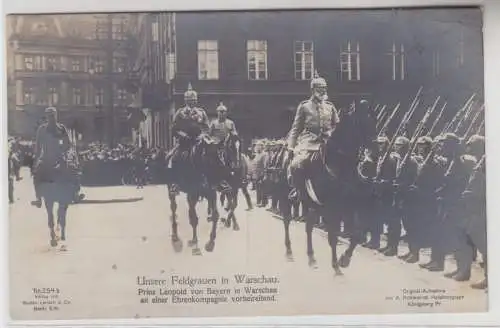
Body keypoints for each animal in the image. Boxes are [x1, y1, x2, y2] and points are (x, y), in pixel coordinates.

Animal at [286, 102, 376, 274]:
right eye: (361, 124)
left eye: (374, 123)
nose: (372, 159)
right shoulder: (331, 208)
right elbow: (333, 237)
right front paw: (336, 266)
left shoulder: (350, 206)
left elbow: (357, 233)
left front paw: (344, 259)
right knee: (286, 220)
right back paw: (289, 252)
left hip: (313, 205)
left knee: (308, 227)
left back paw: (311, 258)